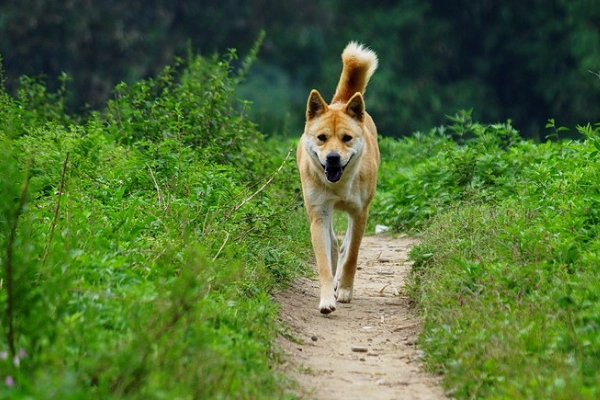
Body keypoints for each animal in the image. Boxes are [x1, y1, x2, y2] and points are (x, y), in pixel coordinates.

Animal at [296, 42, 380, 314]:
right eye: (322, 138)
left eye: (346, 138)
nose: (332, 158)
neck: (340, 185)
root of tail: (340, 102)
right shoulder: (319, 213)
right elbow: (323, 260)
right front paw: (326, 299)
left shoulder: (360, 212)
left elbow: (352, 254)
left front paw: (344, 290)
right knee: (333, 244)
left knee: (344, 247)